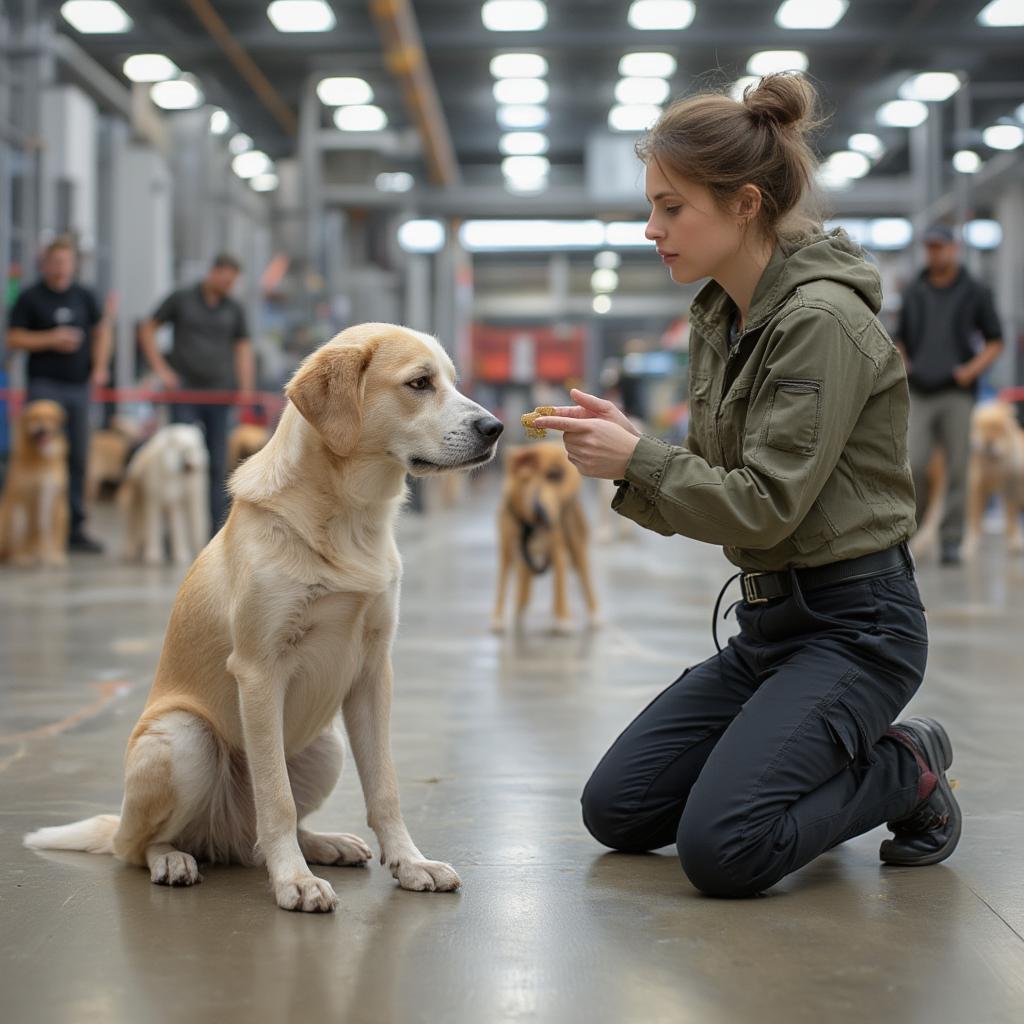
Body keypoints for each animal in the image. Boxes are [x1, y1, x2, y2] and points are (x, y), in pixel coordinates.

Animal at [0, 399, 69, 569]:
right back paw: (23, 557)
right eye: (34, 418)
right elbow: (30, 532)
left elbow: (55, 533)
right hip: (11, 515)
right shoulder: (28, 499)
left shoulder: (56, 500)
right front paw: (29, 556)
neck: (43, 459)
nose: (42, 430)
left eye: (50, 418)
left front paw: (55, 557)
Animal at [117, 423, 208, 569]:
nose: (194, 467)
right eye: (184, 450)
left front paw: (181, 557)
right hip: (134, 499)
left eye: (198, 448)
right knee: (133, 521)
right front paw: (153, 557)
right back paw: (129, 552)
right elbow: (153, 522)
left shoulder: (184, 496)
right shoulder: (153, 498)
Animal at [489, 440, 598, 630]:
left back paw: (592, 613)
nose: (549, 517)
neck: (530, 522)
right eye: (553, 475)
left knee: (583, 577)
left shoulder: (557, 548)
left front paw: (562, 617)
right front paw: (498, 616)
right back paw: (521, 604)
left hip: (575, 546)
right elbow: (502, 583)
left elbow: (559, 585)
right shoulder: (506, 550)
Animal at [958, 401, 1024, 561]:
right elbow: (974, 521)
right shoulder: (977, 488)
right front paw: (969, 547)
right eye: (980, 428)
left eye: (997, 428)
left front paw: (1015, 543)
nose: (988, 443)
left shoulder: (1010, 491)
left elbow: (1011, 520)